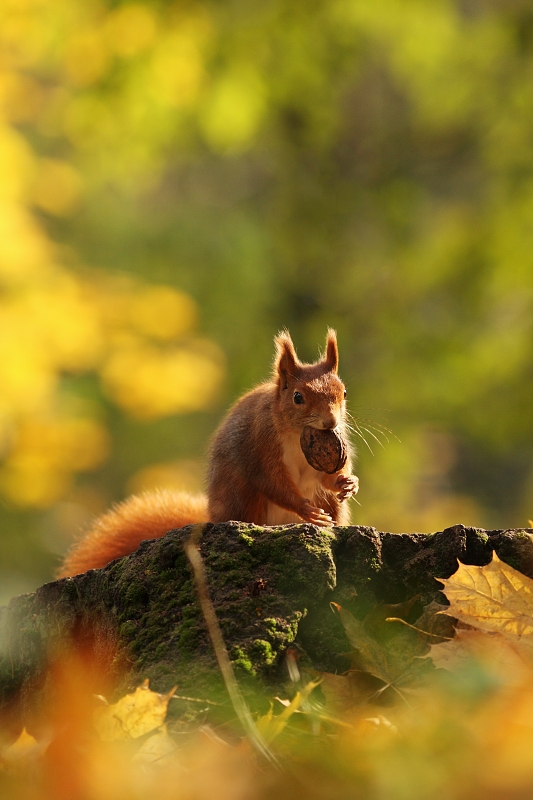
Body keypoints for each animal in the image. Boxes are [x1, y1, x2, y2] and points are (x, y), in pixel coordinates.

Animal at [58, 329, 359, 578]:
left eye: (343, 393)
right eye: (298, 397)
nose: (330, 422)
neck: (297, 436)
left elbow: (324, 478)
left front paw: (347, 482)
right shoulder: (260, 445)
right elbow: (272, 481)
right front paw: (306, 509)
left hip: (332, 507)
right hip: (243, 499)